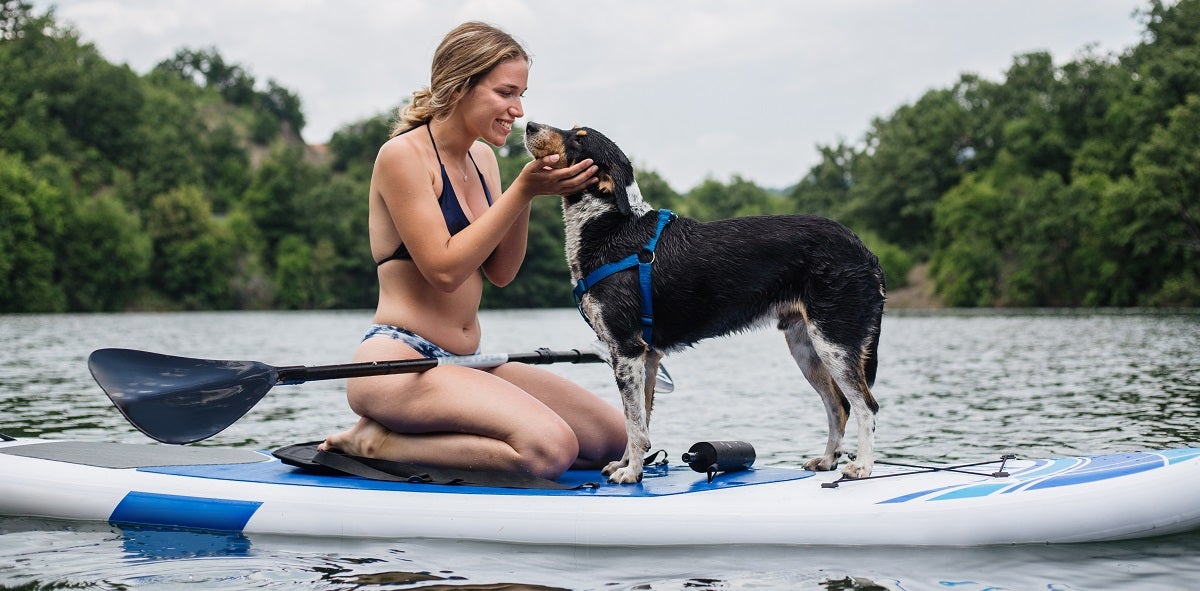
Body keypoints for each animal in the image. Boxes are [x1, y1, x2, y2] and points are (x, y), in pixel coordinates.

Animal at [520, 122, 888, 482]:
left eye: (579, 140)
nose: (529, 125)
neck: (611, 228)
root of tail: (866, 252)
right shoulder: (647, 357)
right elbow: (639, 422)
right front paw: (627, 464)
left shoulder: (626, 349)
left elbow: (634, 424)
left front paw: (632, 472)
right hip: (806, 348)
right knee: (838, 406)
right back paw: (827, 461)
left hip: (834, 342)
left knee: (866, 406)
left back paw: (862, 467)